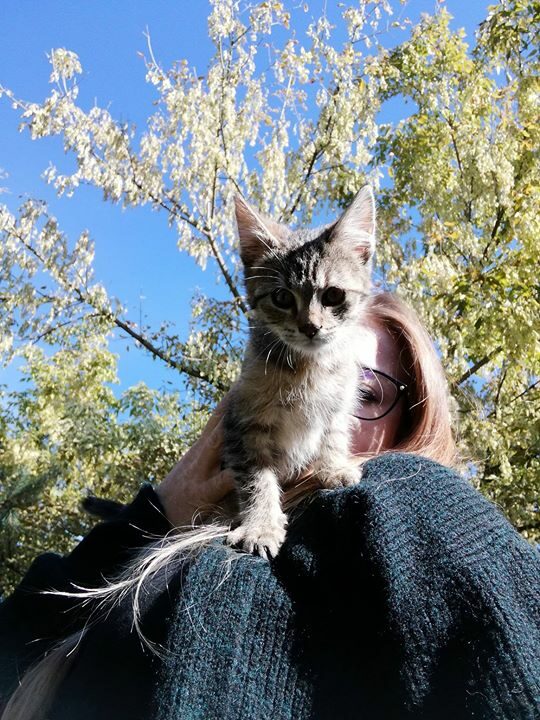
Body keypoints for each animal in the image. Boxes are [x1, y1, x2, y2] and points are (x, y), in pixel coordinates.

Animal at [223, 186, 376, 559]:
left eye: (333, 295)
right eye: (281, 297)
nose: (310, 327)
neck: (311, 368)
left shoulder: (338, 405)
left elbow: (332, 435)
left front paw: (333, 466)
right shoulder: (243, 422)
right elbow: (256, 478)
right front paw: (261, 525)